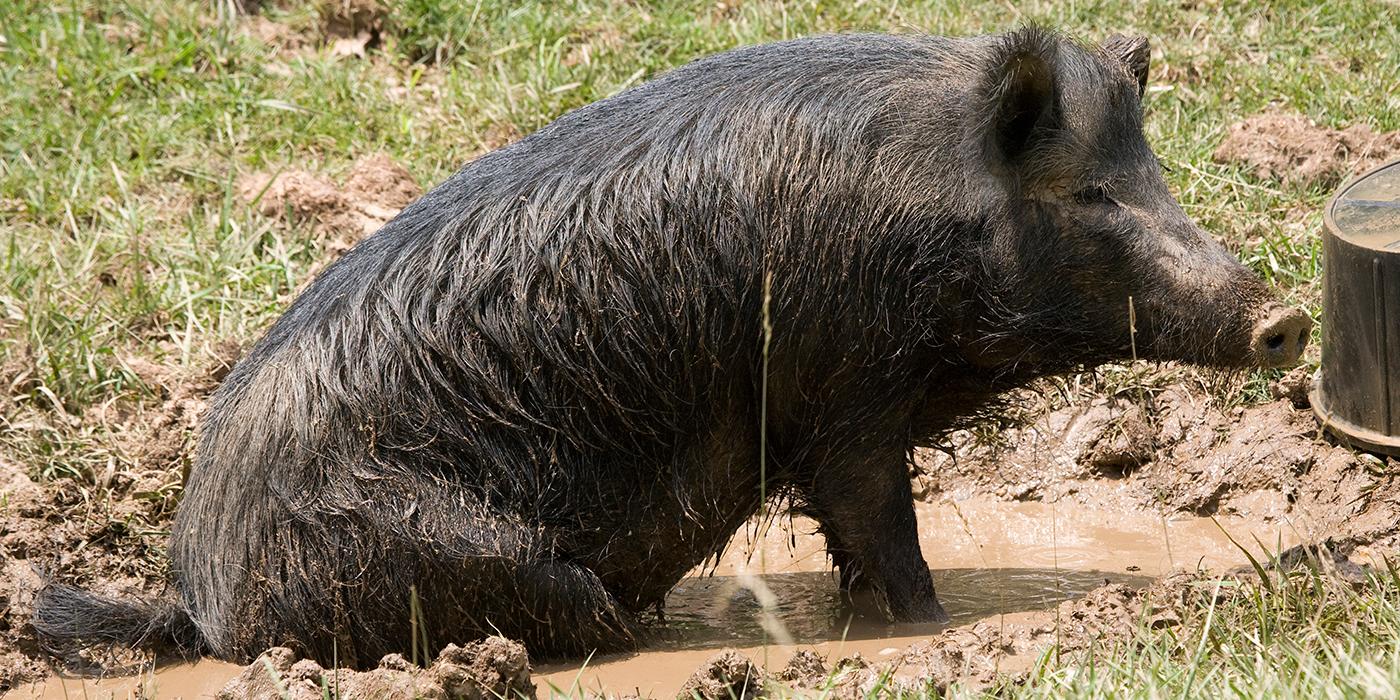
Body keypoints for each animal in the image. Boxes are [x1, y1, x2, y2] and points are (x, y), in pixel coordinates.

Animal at [32, 27, 1310, 666]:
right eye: (1089, 194)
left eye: (1154, 171)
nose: (1282, 317)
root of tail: (197, 597)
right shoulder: (837, 379)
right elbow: (876, 523)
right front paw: (927, 630)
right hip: (453, 554)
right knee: (575, 614)